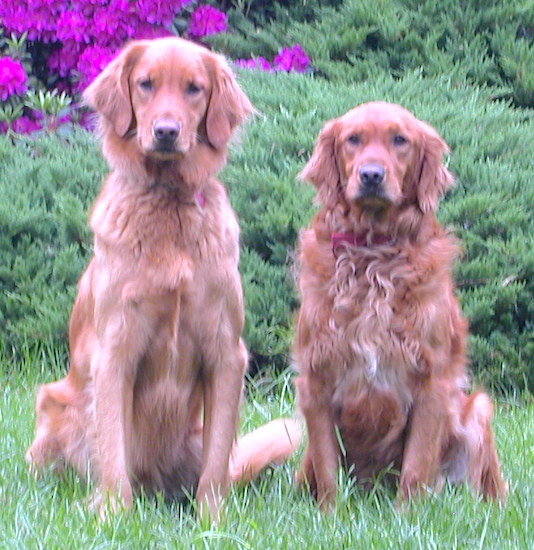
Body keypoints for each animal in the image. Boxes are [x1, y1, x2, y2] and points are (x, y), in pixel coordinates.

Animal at [26, 37, 302, 520]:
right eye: (146, 84)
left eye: (194, 88)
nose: (167, 131)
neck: (169, 201)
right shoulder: (115, 350)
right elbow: (114, 448)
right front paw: (114, 515)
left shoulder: (226, 352)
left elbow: (216, 461)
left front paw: (212, 520)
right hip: (55, 408)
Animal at [296, 101, 508, 512]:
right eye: (353, 140)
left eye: (400, 140)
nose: (371, 175)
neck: (373, 252)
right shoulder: (316, 378)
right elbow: (328, 469)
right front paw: (330, 515)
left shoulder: (432, 381)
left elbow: (416, 466)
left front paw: (406, 515)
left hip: (477, 411)